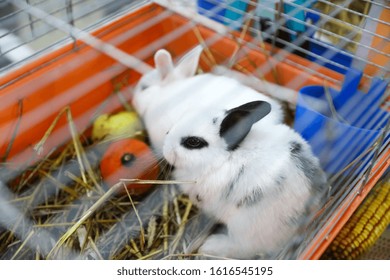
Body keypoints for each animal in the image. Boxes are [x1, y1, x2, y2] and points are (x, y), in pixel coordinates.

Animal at [162, 100, 330, 258]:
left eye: (193, 142)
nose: (165, 148)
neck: (225, 157)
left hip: (245, 227)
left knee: (243, 248)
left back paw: (209, 246)